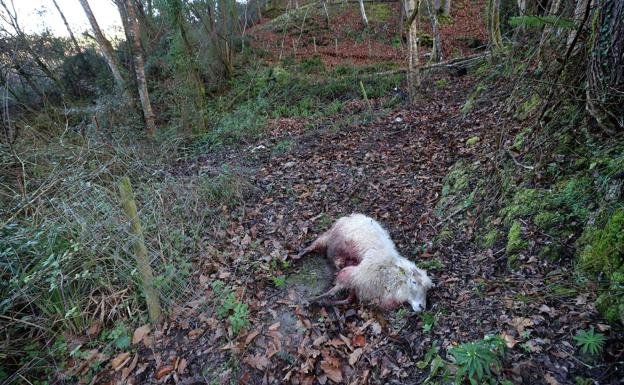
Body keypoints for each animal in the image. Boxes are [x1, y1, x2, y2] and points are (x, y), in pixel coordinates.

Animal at [298, 213, 434, 312]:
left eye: (427, 289)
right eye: (413, 282)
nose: (422, 307)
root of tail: (354, 215)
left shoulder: (359, 286)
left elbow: (348, 300)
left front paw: (324, 302)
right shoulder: (354, 275)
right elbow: (332, 292)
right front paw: (311, 300)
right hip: (330, 237)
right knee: (312, 246)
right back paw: (296, 256)